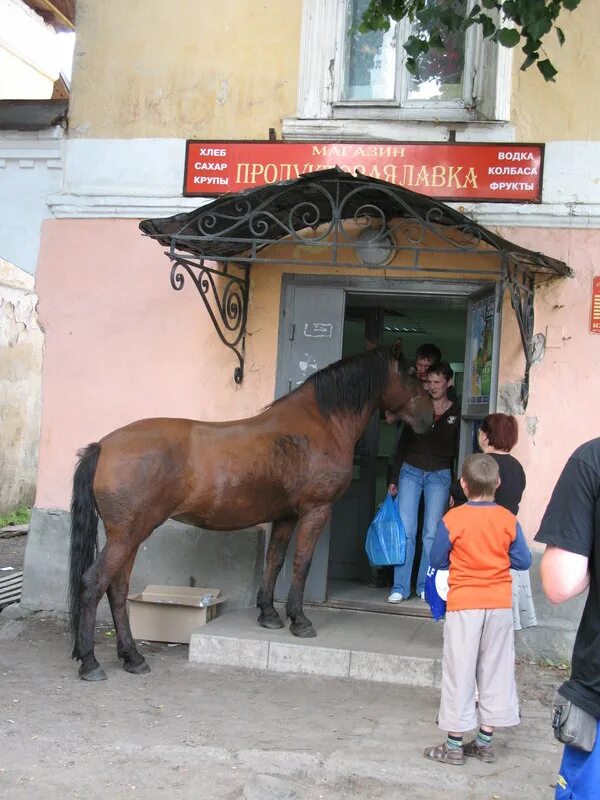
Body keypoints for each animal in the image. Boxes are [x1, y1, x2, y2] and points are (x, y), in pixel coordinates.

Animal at [68, 344, 432, 680]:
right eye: (413, 372)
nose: (430, 416)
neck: (321, 423)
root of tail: (103, 446)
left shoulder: (286, 515)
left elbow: (275, 560)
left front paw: (269, 614)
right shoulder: (315, 511)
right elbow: (301, 563)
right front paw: (299, 620)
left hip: (130, 536)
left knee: (117, 589)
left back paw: (132, 657)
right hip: (127, 535)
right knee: (93, 583)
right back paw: (90, 662)